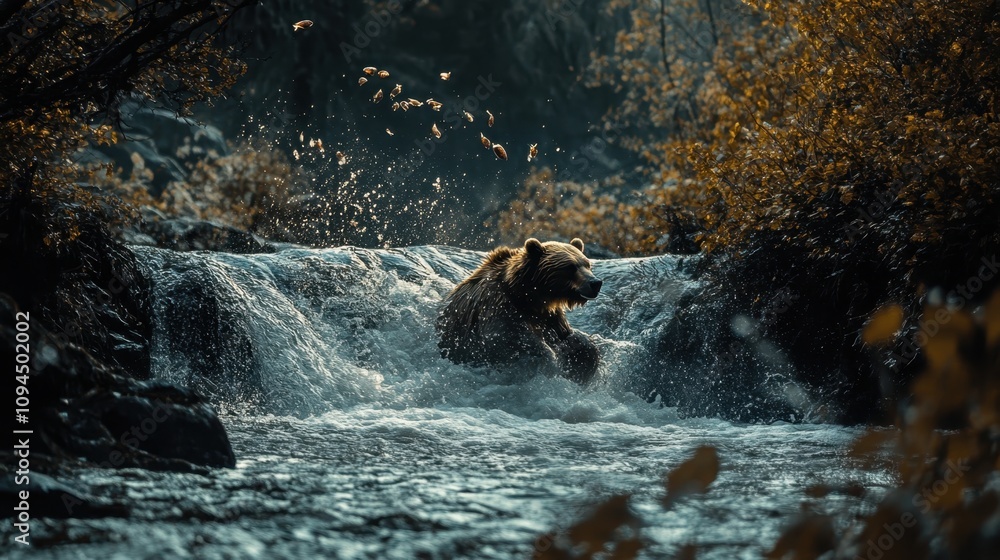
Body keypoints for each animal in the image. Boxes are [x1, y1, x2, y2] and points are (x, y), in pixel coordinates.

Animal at [436, 237, 603, 383]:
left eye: (587, 264)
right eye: (570, 267)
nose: (595, 283)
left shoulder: (549, 315)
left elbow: (570, 337)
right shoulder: (496, 306)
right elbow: (510, 337)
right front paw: (551, 359)